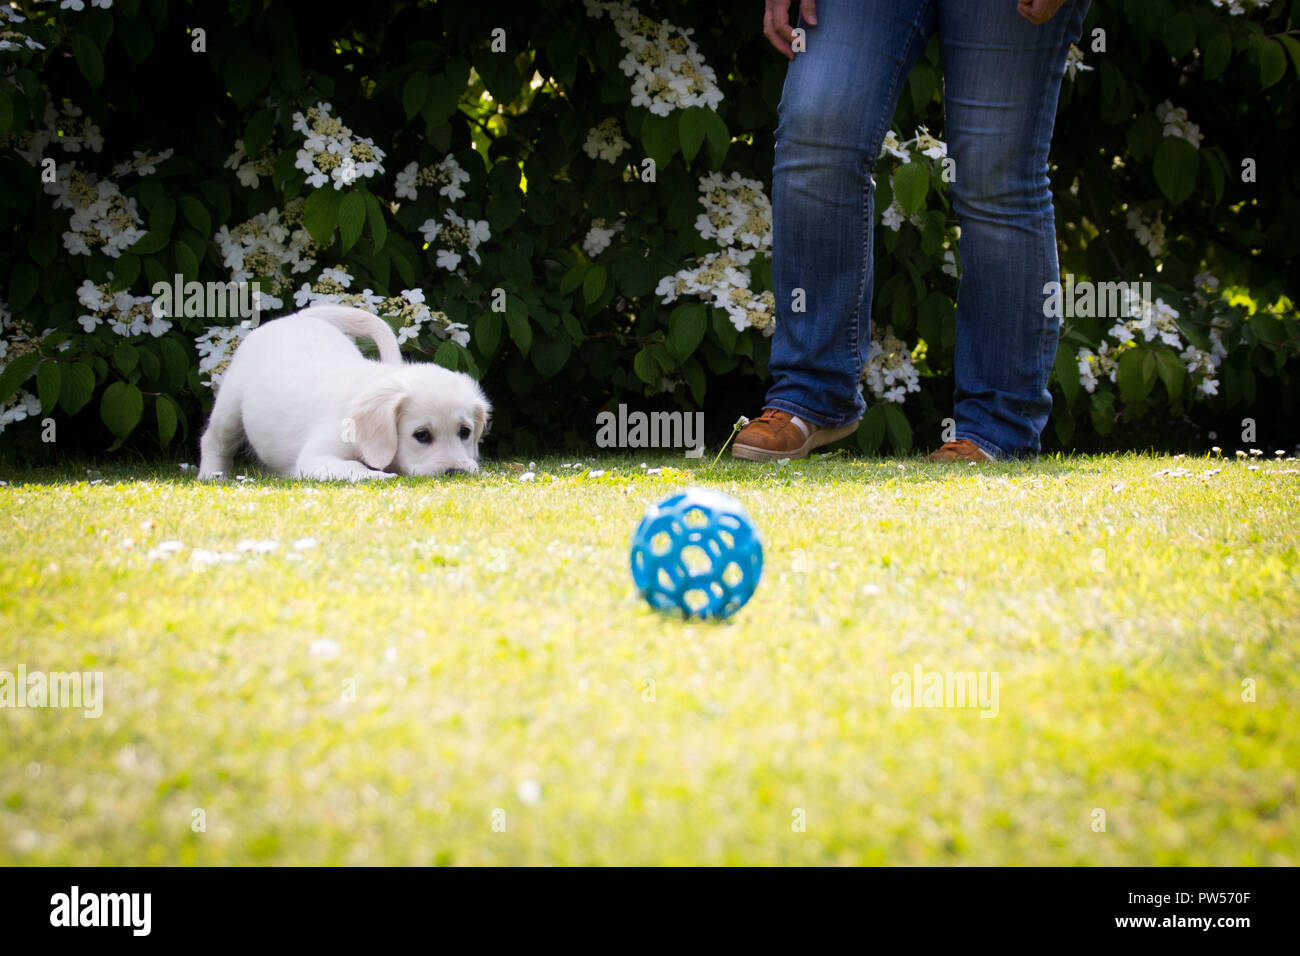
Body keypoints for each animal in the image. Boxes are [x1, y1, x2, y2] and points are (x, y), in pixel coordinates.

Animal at [200, 304, 488, 478]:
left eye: (465, 432)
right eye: (422, 435)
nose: (457, 472)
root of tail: (297, 318)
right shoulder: (315, 457)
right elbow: (355, 467)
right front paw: (379, 476)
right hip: (229, 409)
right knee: (212, 441)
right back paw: (211, 475)